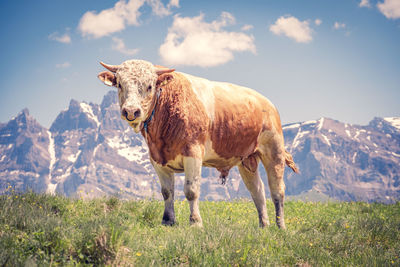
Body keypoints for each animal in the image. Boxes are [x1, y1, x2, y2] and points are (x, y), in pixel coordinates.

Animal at [97, 59, 296, 229]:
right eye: (120, 84)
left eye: (149, 86)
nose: (131, 111)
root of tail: (266, 102)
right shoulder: (157, 160)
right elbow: (167, 192)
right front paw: (168, 221)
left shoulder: (193, 153)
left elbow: (191, 190)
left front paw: (195, 222)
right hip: (247, 159)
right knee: (257, 191)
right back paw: (264, 225)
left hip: (274, 151)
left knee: (277, 190)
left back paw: (280, 226)